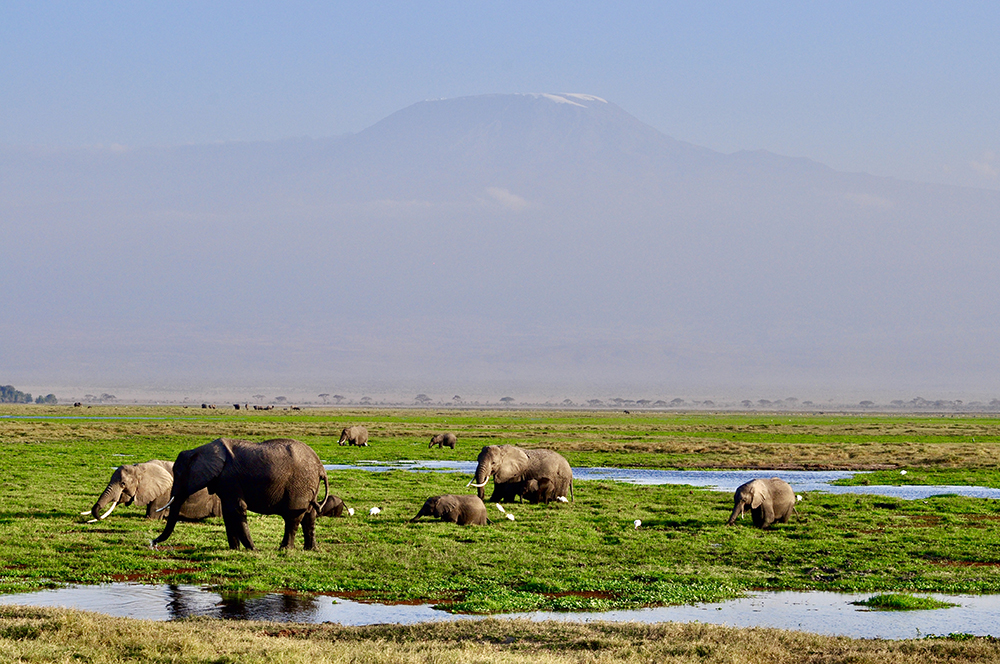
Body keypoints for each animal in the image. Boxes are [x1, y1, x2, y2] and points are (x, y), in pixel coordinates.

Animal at [152, 438, 328, 551]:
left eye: (178, 474)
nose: (153, 543)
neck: (199, 450)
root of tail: (321, 467)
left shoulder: (229, 478)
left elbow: (236, 509)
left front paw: (252, 550)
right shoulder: (223, 482)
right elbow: (227, 513)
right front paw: (234, 549)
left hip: (300, 484)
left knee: (292, 516)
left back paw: (284, 550)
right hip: (309, 484)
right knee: (309, 514)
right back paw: (311, 549)